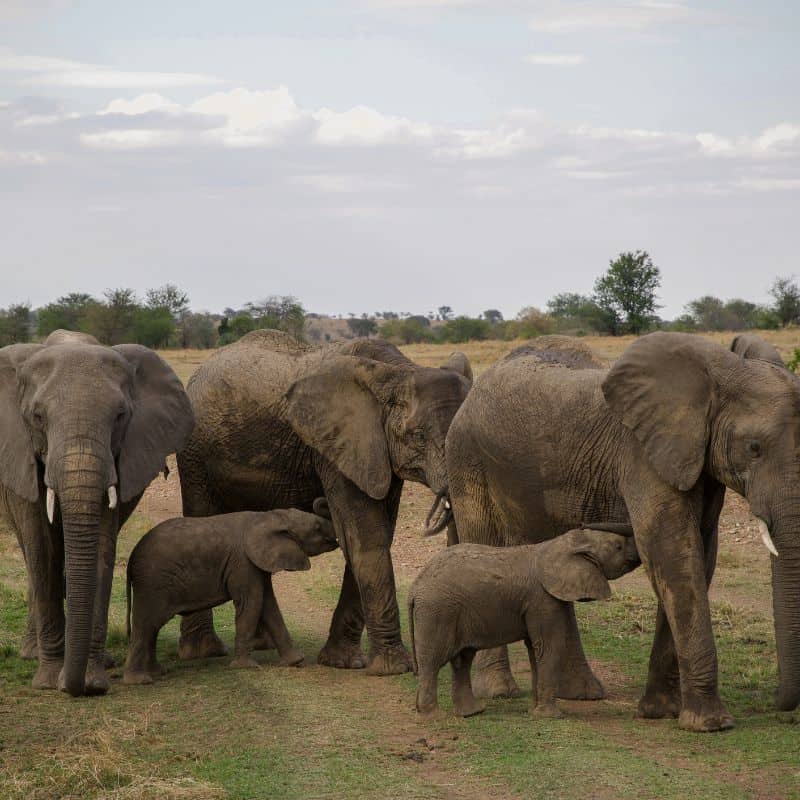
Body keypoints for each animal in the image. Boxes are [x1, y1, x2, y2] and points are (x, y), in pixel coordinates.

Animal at [0, 330, 193, 692]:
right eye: (37, 417)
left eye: (120, 416)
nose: (70, 686)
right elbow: (41, 549)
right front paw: (49, 681)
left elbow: (102, 547)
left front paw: (92, 682)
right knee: (34, 556)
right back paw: (32, 654)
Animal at [123, 504, 336, 684]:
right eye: (317, 527)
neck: (269, 516)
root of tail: (132, 556)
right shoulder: (242, 563)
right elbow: (251, 602)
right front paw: (246, 667)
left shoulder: (256, 563)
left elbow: (269, 604)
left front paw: (295, 662)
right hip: (152, 583)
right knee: (146, 625)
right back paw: (140, 681)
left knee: (151, 628)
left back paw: (157, 673)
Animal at [177, 330, 472, 676]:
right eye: (418, 436)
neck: (396, 370)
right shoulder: (338, 446)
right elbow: (366, 539)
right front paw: (394, 669)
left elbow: (374, 535)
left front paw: (342, 662)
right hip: (194, 454)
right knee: (199, 518)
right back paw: (204, 652)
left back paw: (261, 645)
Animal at [410, 524, 640, 720]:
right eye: (618, 546)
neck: (561, 544)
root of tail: (415, 585)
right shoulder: (543, 599)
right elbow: (550, 646)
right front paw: (550, 717)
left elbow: (535, 649)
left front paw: (534, 711)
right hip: (437, 611)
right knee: (433, 660)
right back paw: (434, 717)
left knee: (462, 659)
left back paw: (471, 713)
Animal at [446, 332, 800, 732]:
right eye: (754, 448)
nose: (777, 703)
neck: (722, 370)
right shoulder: (641, 455)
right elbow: (670, 550)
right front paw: (709, 724)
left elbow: (699, 554)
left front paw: (659, 711)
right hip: (467, 458)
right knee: (484, 541)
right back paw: (499, 691)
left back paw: (580, 693)